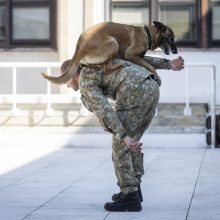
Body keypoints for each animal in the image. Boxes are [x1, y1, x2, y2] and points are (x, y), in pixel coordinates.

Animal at [42, 20, 178, 84]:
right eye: (171, 38)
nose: (176, 51)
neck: (147, 34)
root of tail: (80, 44)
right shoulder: (131, 54)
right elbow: (150, 66)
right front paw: (157, 76)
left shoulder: (139, 56)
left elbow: (149, 63)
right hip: (113, 42)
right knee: (107, 68)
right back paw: (121, 64)